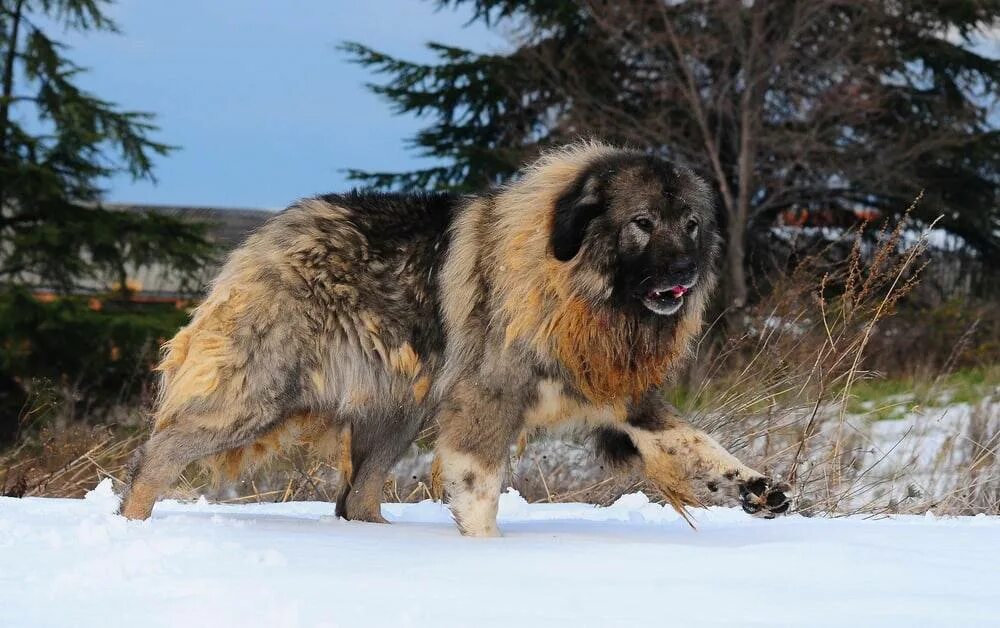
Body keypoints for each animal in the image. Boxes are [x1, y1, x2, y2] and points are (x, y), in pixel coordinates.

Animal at [119, 144, 788, 536]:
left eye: (692, 224)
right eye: (643, 224)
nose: (686, 273)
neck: (571, 283)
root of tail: (267, 235)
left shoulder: (624, 400)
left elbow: (698, 448)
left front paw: (757, 488)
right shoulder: (486, 403)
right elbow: (480, 489)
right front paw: (485, 554)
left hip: (399, 413)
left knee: (355, 499)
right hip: (257, 396)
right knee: (159, 452)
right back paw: (132, 526)